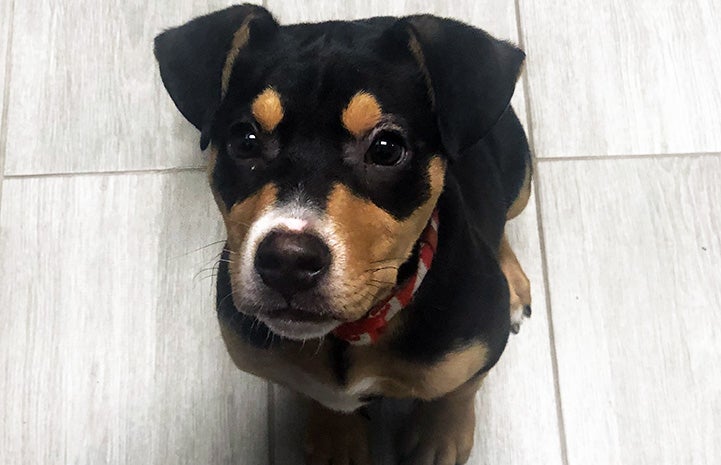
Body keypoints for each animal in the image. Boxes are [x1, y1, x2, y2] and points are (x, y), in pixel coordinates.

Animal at [155, 4, 532, 464]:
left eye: (386, 148)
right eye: (245, 140)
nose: (288, 261)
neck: (353, 333)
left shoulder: (480, 344)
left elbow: (460, 388)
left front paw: (439, 437)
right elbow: (320, 395)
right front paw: (337, 437)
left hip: (521, 175)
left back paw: (515, 287)